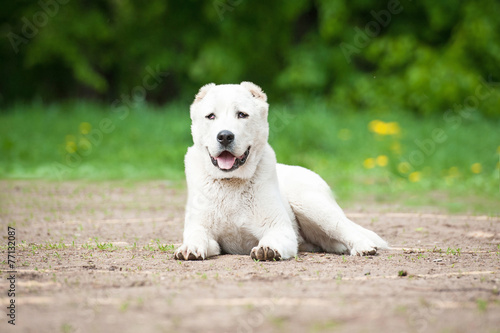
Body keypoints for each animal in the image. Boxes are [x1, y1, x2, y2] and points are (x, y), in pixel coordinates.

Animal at [174, 81, 388, 260]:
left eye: (242, 114)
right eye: (211, 116)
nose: (225, 136)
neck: (231, 183)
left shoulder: (279, 229)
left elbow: (272, 239)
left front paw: (267, 249)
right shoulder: (202, 231)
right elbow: (197, 237)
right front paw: (189, 248)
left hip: (312, 205)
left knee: (347, 229)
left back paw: (363, 247)